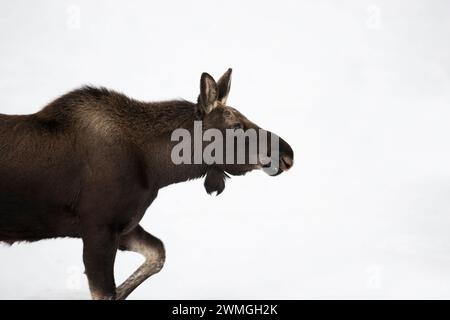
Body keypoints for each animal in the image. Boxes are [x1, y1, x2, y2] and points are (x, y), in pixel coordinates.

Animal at [0, 69, 294, 300]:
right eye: (235, 126)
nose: (287, 153)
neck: (157, 168)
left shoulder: (124, 226)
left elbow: (157, 254)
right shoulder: (98, 228)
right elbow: (106, 292)